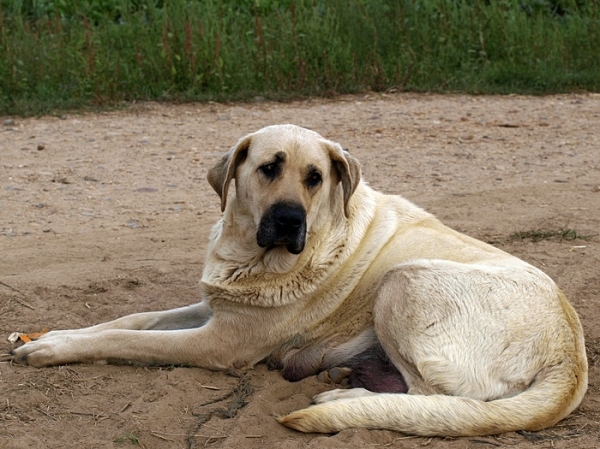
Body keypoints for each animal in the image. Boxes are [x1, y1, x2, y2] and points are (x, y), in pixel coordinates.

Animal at [11, 122, 588, 434]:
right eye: (269, 167)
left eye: (315, 178)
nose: (290, 220)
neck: (251, 254)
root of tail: (571, 353)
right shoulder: (215, 307)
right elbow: (132, 319)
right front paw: (50, 334)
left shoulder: (221, 343)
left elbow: (129, 341)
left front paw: (53, 349)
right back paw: (350, 377)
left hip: (403, 280)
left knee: (442, 396)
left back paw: (345, 401)